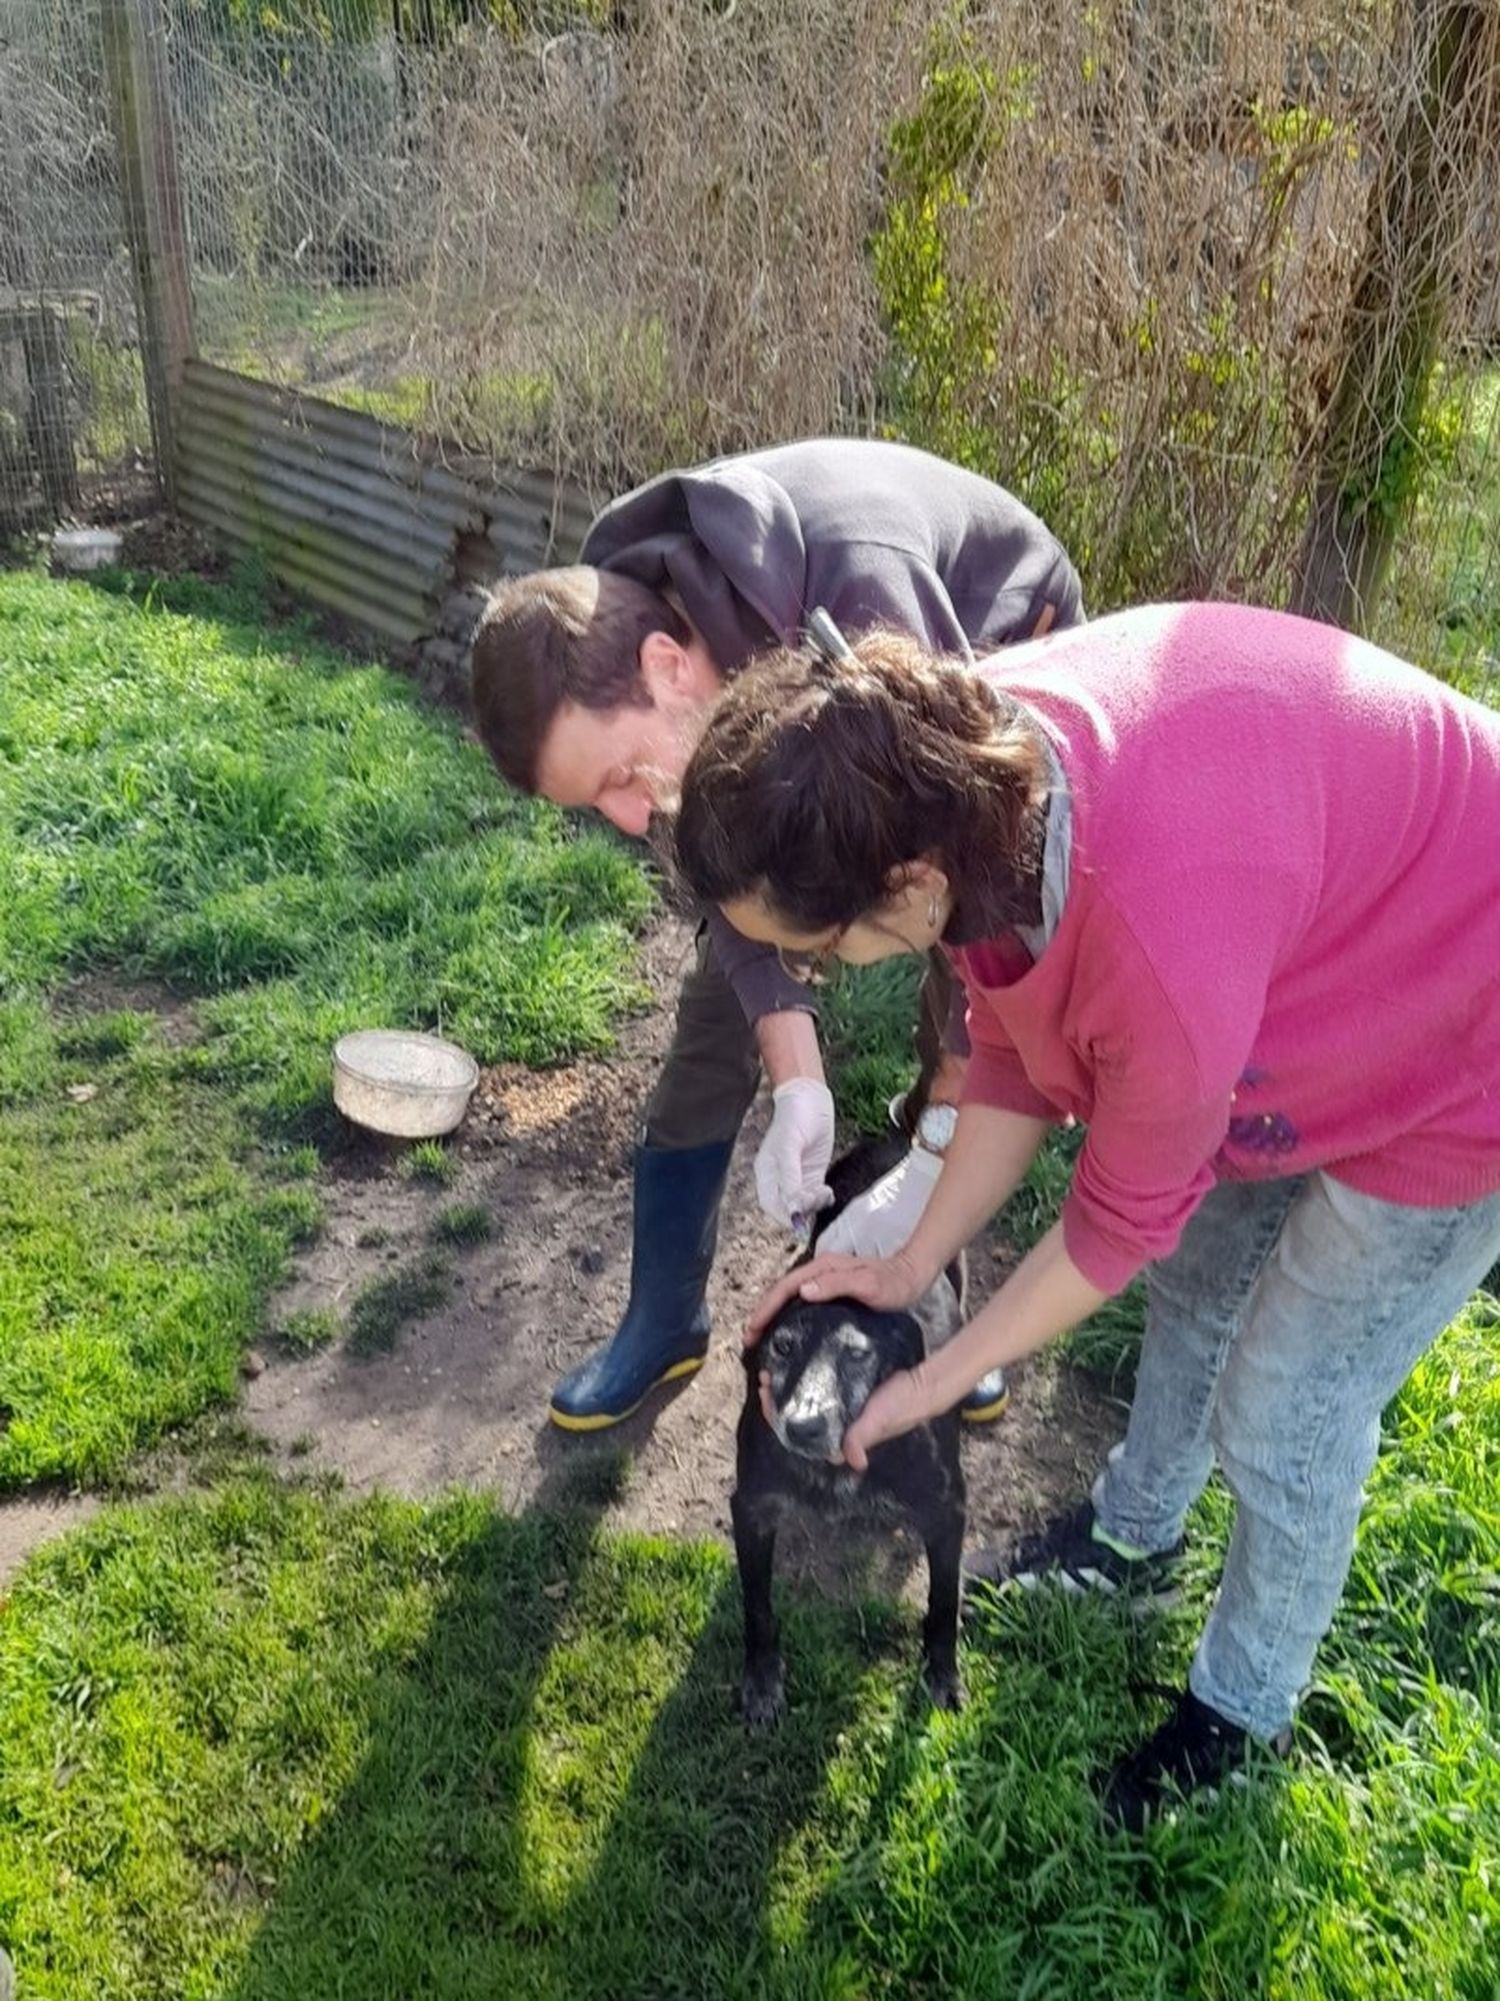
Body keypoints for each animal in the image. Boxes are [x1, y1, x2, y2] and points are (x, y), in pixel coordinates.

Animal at [736, 1144, 968, 1720]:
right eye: (782, 1346)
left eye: (857, 1354)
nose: (803, 1426)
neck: (836, 1474)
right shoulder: (751, 1507)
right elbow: (757, 1606)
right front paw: (762, 1677)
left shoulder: (948, 1510)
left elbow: (944, 1600)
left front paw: (942, 1672)